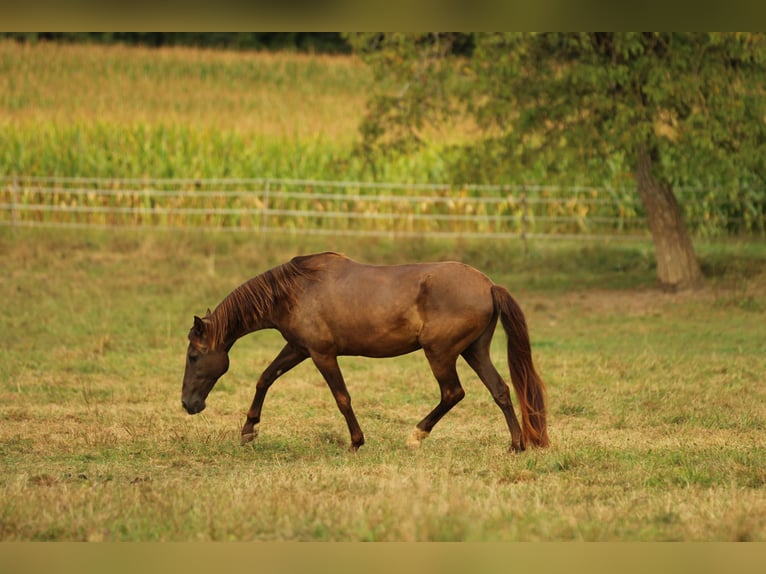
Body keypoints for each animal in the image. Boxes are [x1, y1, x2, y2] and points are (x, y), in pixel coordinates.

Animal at [183, 252, 548, 454]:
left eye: (193, 356)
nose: (188, 404)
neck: (294, 291)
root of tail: (488, 285)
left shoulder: (322, 354)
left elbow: (342, 397)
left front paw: (356, 442)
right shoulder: (298, 348)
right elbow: (264, 378)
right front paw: (248, 431)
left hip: (440, 354)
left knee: (452, 392)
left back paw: (416, 435)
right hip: (475, 351)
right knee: (500, 390)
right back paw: (516, 445)